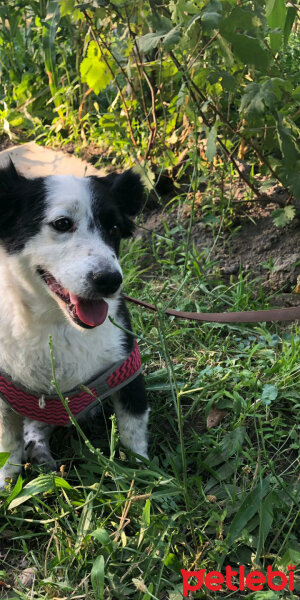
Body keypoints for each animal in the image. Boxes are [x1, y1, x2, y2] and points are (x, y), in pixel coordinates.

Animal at [0, 159, 149, 488]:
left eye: (114, 227)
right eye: (62, 223)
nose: (110, 281)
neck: (57, 324)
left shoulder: (126, 370)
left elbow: (133, 430)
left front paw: (143, 474)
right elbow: (8, 442)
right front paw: (7, 480)